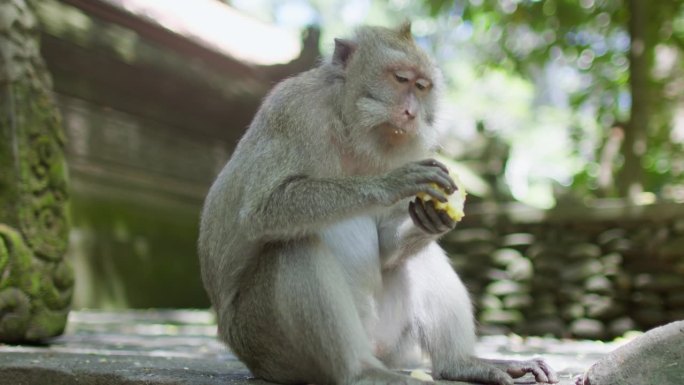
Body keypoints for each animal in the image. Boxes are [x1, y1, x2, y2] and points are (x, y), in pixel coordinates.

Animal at [196, 23, 556, 384]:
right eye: (400, 78)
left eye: (422, 87)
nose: (411, 112)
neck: (349, 126)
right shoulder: (293, 110)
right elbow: (260, 211)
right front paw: (390, 183)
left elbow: (386, 247)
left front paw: (433, 219)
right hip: (269, 347)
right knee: (293, 248)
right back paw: (362, 371)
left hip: (391, 337)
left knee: (417, 259)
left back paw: (461, 363)